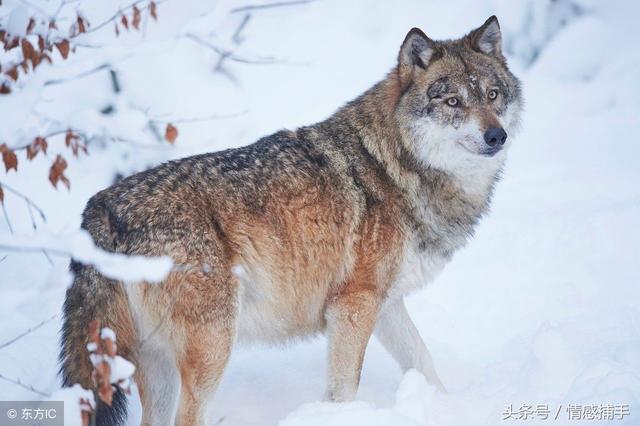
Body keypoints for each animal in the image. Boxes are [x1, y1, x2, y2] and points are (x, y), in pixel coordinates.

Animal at [58, 16, 520, 426]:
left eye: (493, 95)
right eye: (453, 102)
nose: (496, 136)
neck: (398, 165)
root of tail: (100, 208)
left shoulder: (385, 305)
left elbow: (424, 362)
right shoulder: (353, 308)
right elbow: (343, 390)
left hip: (157, 364)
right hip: (212, 349)